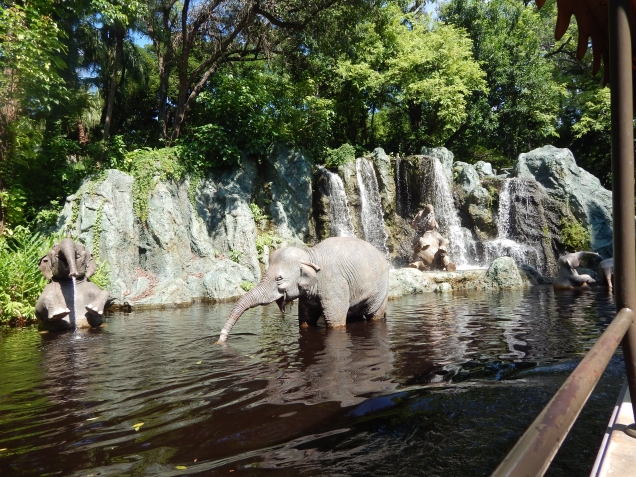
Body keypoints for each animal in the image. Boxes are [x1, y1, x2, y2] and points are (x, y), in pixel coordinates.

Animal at [217, 235, 388, 342]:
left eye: (279, 279)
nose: (220, 340)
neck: (310, 255)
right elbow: (306, 320)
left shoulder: (334, 282)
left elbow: (335, 323)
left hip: (382, 291)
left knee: (375, 314)